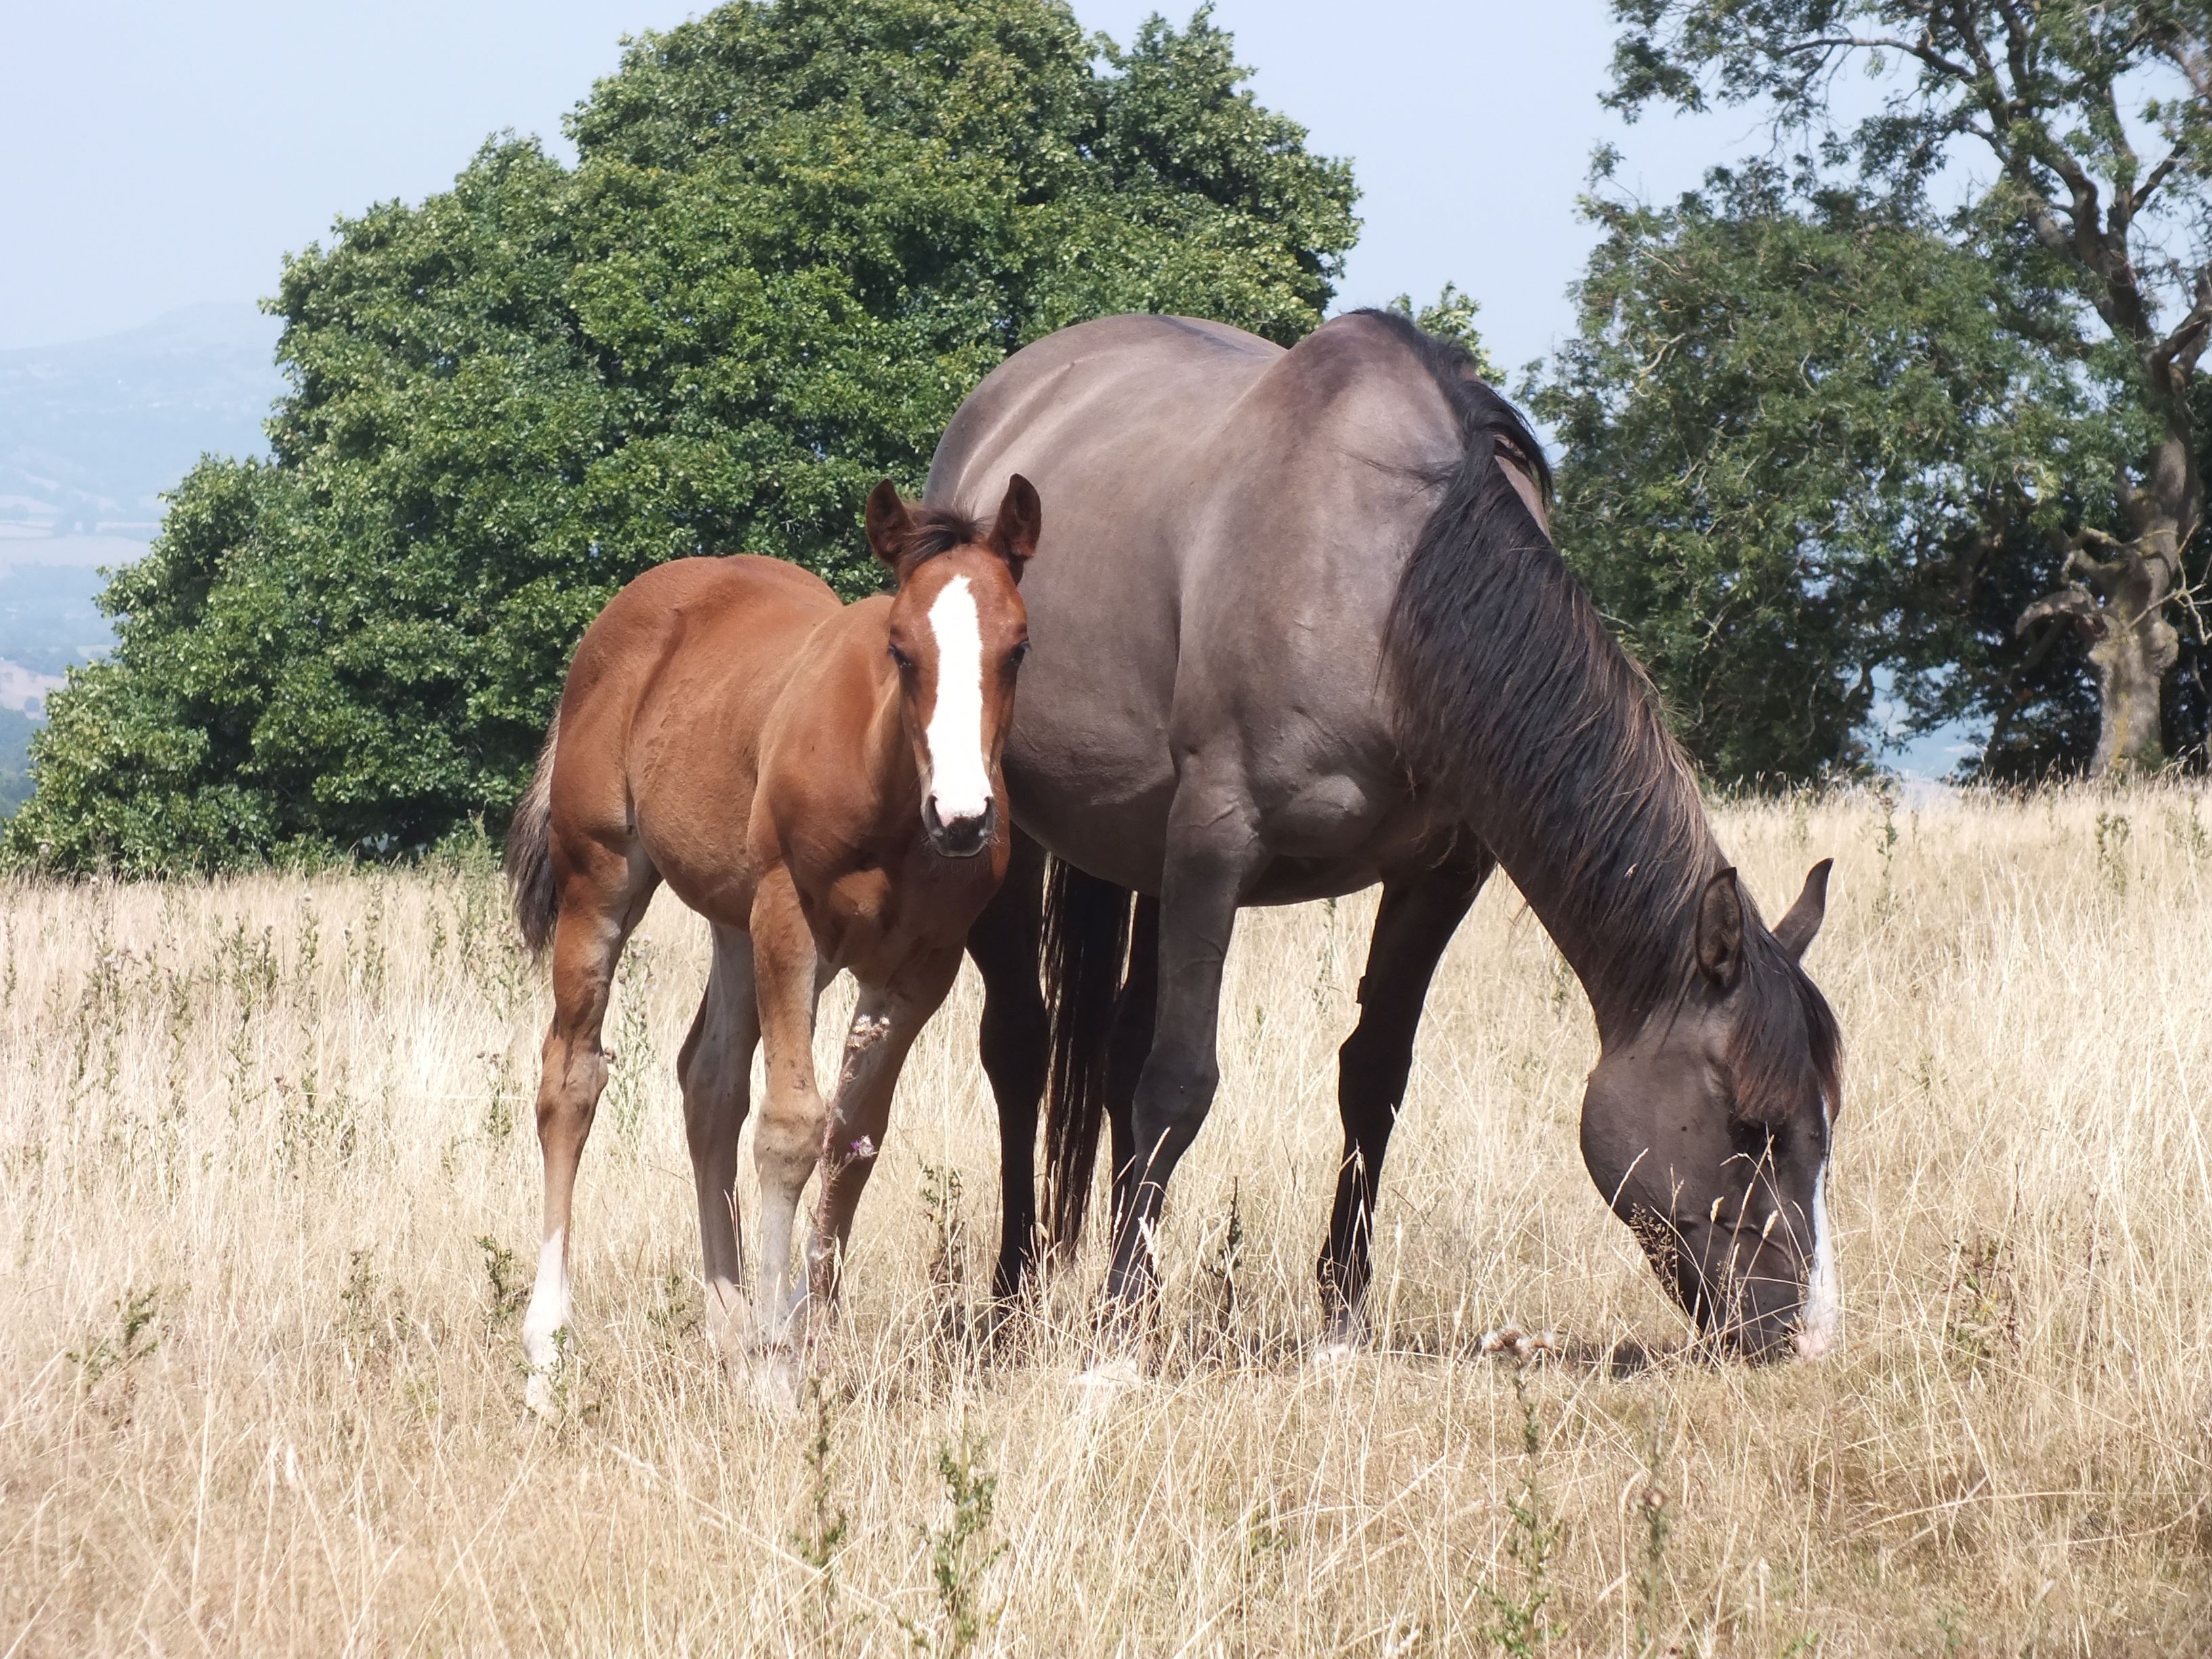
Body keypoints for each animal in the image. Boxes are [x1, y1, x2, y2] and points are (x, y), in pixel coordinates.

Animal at [503, 476, 1041, 1405]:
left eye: (1017, 647)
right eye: (900, 649)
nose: (965, 817)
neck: (890, 793)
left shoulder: (923, 966)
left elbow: (854, 1139)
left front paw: (803, 1338)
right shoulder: (789, 920)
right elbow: (792, 1128)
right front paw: (776, 1373)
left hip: (732, 919)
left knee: (708, 1082)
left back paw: (727, 1326)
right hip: (602, 879)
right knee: (571, 1076)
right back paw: (549, 1346)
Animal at [931, 311, 1842, 1360]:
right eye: (1748, 1126)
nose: (1802, 1334)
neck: (1394, 593)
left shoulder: (1439, 875)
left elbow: (1373, 1077)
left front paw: (1340, 1316)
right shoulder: (1214, 842)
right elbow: (1178, 1082)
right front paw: (1118, 1326)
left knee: (1113, 1054)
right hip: (1007, 831)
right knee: (1021, 1048)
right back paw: (1010, 1295)